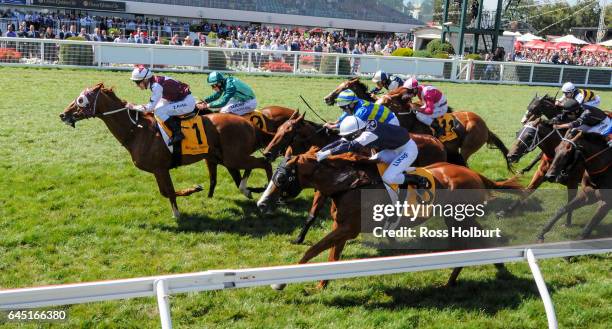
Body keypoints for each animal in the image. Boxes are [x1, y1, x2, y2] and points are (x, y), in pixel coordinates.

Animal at [60, 84, 272, 218]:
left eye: (81, 100)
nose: (63, 114)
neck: (137, 131)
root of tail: (247, 122)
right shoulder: (157, 170)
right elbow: (165, 192)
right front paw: (192, 191)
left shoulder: (161, 168)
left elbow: (168, 191)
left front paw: (178, 212)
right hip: (227, 157)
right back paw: (249, 189)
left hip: (233, 157)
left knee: (264, 162)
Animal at [256, 147, 524, 288]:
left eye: (281, 177)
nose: (261, 203)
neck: (348, 183)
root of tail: (475, 174)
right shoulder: (341, 226)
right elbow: (332, 255)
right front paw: (322, 284)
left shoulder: (349, 228)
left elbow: (314, 249)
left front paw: (281, 281)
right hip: (457, 219)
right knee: (479, 238)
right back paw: (493, 265)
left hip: (459, 218)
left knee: (468, 243)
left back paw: (455, 277)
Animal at [260, 113, 448, 243]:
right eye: (277, 129)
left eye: (287, 133)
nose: (267, 153)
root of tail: (437, 141)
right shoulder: (323, 188)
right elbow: (312, 215)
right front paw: (299, 239)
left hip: (409, 156)